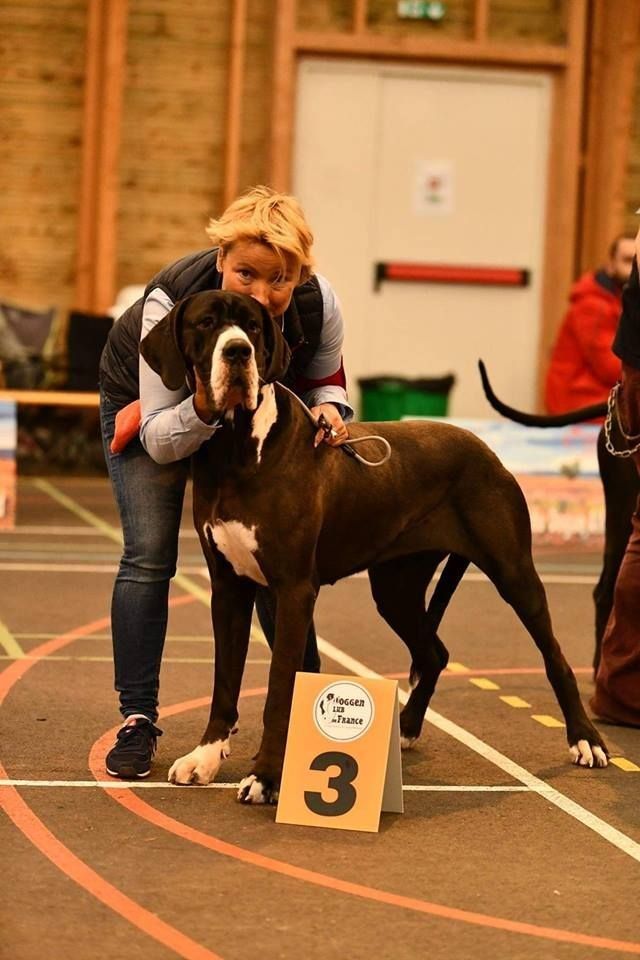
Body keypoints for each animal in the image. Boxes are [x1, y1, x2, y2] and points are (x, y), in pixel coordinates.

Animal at [139, 292, 608, 804]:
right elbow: (225, 681)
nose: (239, 351)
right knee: (435, 653)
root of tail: (482, 447)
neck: (238, 447)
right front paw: (204, 758)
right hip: (395, 587)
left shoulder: (294, 590)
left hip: (514, 571)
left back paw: (586, 740)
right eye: (207, 323)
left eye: (253, 327)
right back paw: (406, 726)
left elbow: (279, 689)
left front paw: (264, 777)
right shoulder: (228, 588)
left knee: (554, 657)